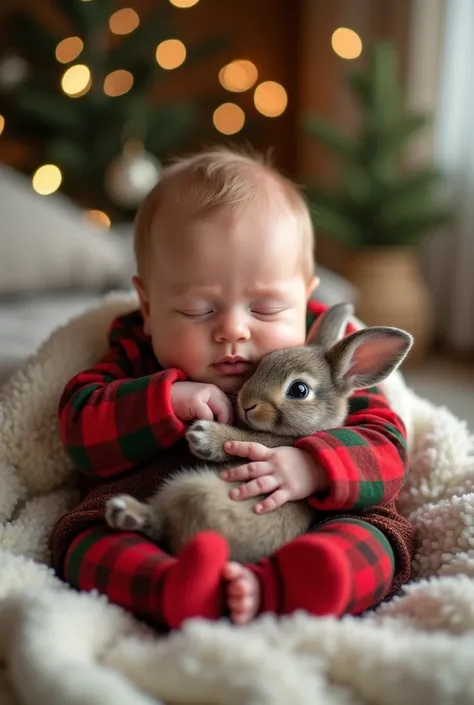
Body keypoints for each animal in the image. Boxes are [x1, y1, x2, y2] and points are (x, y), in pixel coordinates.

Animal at [105, 302, 412, 560]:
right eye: (262, 365)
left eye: (299, 390)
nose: (246, 403)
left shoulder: (265, 443)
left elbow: (244, 438)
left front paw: (204, 435)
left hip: (187, 489)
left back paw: (125, 511)